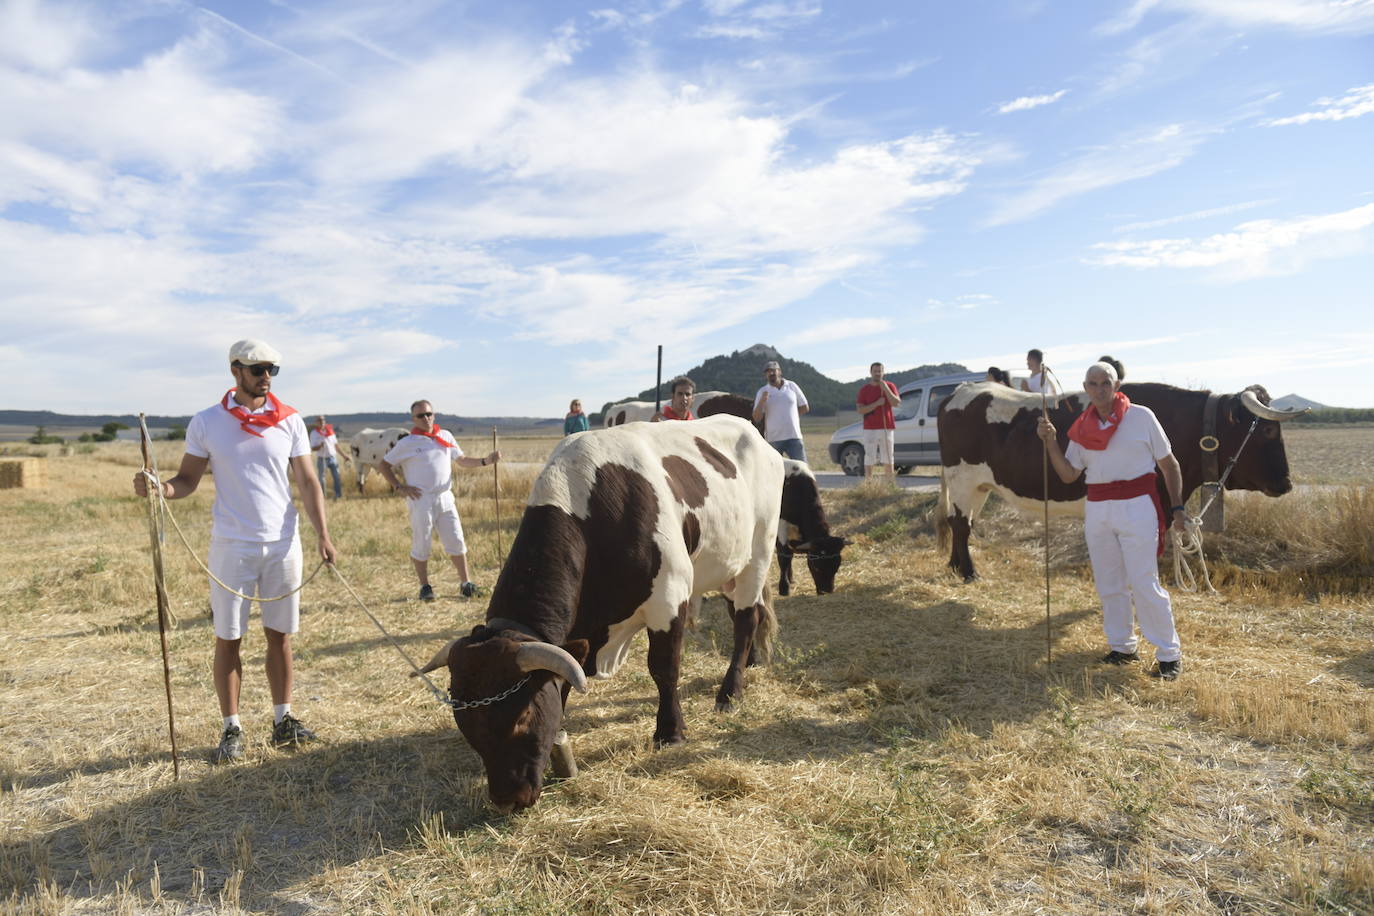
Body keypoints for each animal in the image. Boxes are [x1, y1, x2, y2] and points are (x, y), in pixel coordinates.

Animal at [412, 414, 785, 807]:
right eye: (465, 723)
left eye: (524, 716)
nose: (507, 799)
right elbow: (564, 676)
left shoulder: (669, 599)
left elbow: (664, 669)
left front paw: (670, 732)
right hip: (728, 565)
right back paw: (752, 660)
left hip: (758, 555)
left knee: (745, 621)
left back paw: (730, 692)